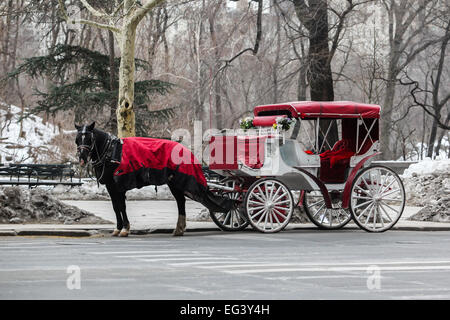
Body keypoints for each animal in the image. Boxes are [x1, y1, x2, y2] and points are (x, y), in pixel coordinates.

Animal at [75, 121, 230, 236]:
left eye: (89, 138)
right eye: (77, 139)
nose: (82, 158)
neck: (111, 151)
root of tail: (185, 149)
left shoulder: (118, 186)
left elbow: (121, 206)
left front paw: (125, 228)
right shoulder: (110, 186)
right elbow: (115, 207)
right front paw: (118, 228)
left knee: (182, 201)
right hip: (174, 183)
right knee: (181, 201)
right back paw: (179, 229)